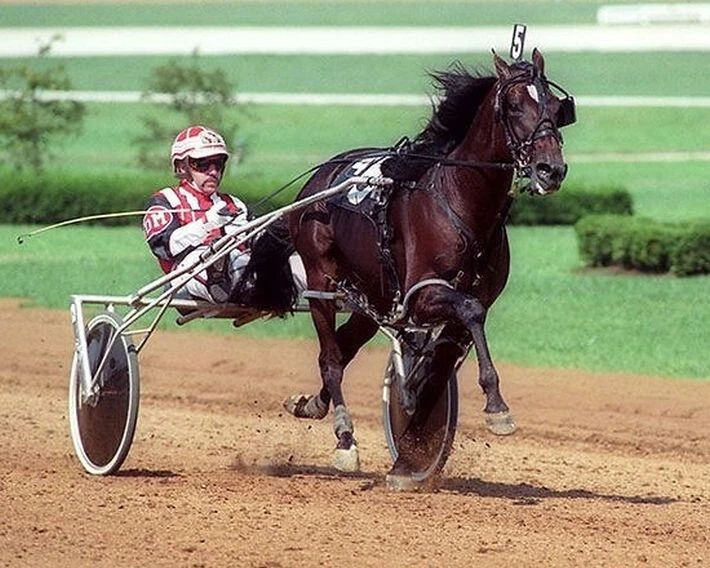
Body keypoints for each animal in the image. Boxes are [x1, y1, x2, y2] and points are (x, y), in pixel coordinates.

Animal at [267, 49, 573, 478]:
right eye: (514, 105)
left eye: (556, 106)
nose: (551, 169)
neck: (461, 202)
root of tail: (320, 178)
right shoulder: (423, 294)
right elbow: (470, 310)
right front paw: (496, 407)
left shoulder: (452, 298)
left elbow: (451, 344)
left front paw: (414, 435)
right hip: (321, 280)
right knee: (330, 358)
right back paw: (345, 439)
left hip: (372, 294)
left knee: (345, 345)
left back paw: (311, 403)